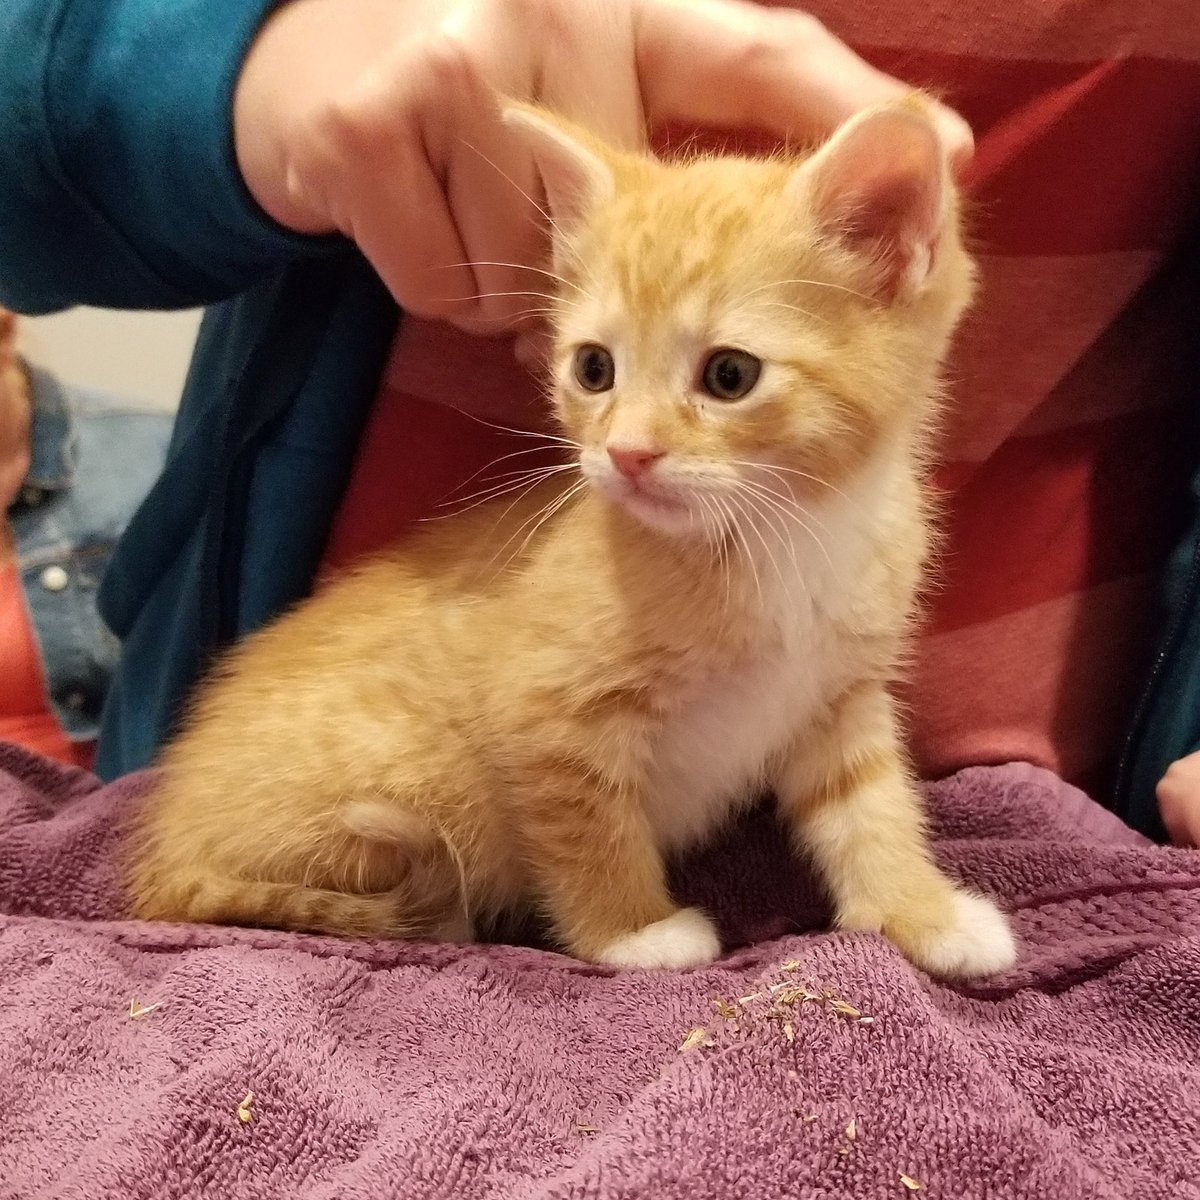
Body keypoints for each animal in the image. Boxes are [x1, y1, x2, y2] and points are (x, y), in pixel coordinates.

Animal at [129, 98, 1012, 979]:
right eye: (594, 369)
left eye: (729, 375)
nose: (626, 454)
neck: (784, 531)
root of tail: (160, 855)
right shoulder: (543, 714)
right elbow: (586, 826)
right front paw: (634, 931)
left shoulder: (840, 694)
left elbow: (871, 806)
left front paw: (921, 910)